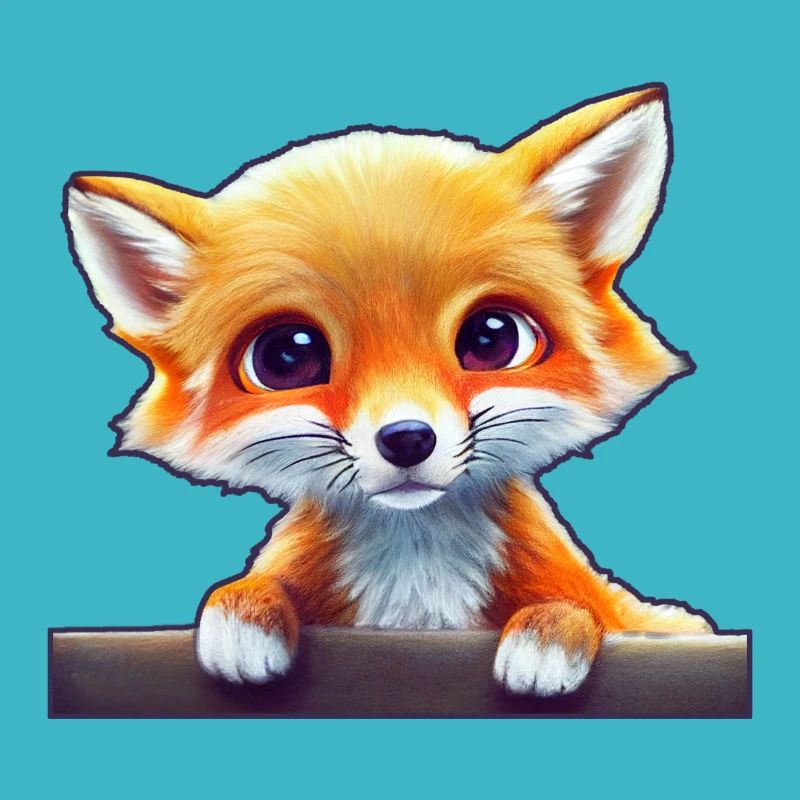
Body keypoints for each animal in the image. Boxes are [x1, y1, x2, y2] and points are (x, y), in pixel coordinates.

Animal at [64, 84, 715, 698]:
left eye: (492, 338)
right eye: (287, 356)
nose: (406, 439)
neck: (416, 569)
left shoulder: (622, 610)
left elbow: (588, 608)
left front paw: (551, 632)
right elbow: (255, 585)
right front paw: (243, 614)